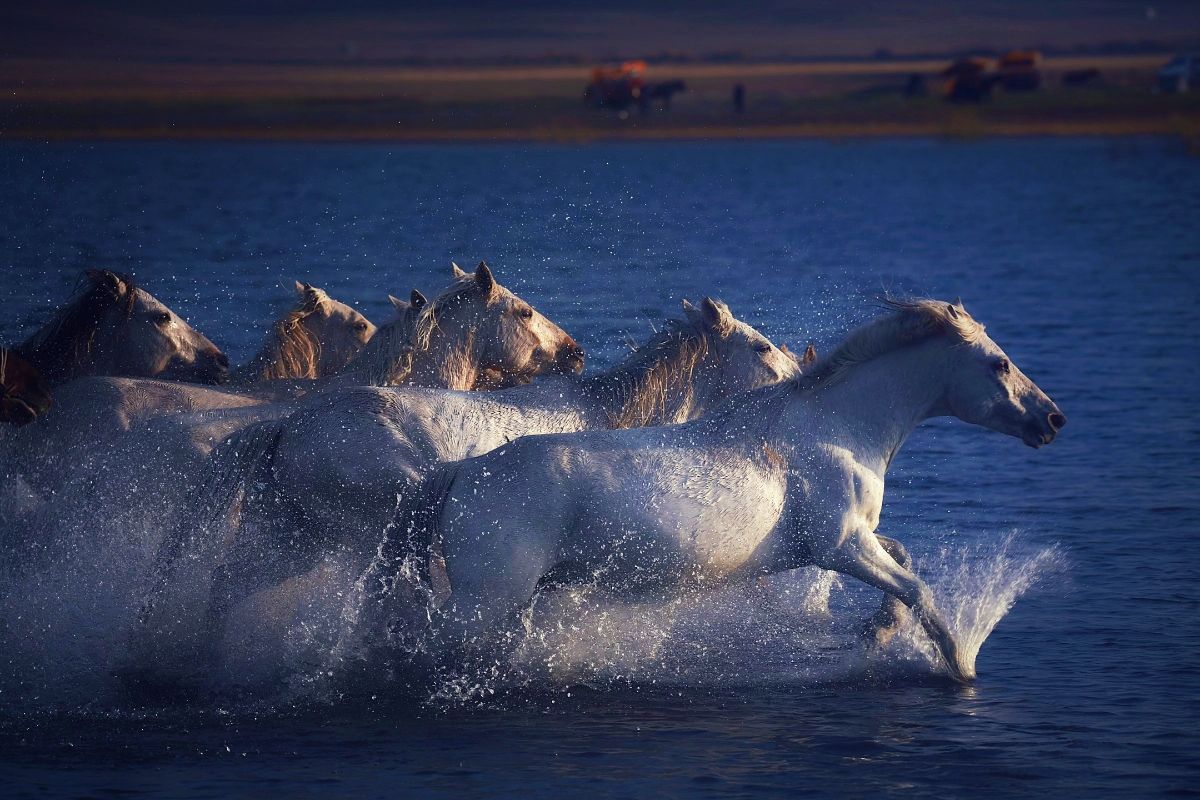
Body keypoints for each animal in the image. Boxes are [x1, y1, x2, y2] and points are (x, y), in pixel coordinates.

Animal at [369, 297, 1065, 686]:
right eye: (999, 363)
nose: (1052, 419)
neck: (837, 428)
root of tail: (460, 473)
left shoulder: (850, 541)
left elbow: (905, 565)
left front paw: (876, 633)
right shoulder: (841, 545)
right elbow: (919, 589)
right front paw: (959, 667)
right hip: (488, 600)